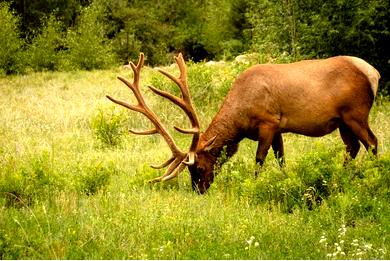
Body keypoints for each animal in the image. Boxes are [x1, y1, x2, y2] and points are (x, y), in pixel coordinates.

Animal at [105, 52, 380, 193]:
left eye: (200, 168)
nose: (198, 191)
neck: (240, 119)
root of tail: (373, 73)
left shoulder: (268, 123)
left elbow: (259, 160)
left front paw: (255, 185)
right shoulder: (278, 128)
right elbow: (281, 158)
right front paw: (286, 180)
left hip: (355, 113)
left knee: (372, 142)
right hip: (342, 122)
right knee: (353, 147)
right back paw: (340, 178)